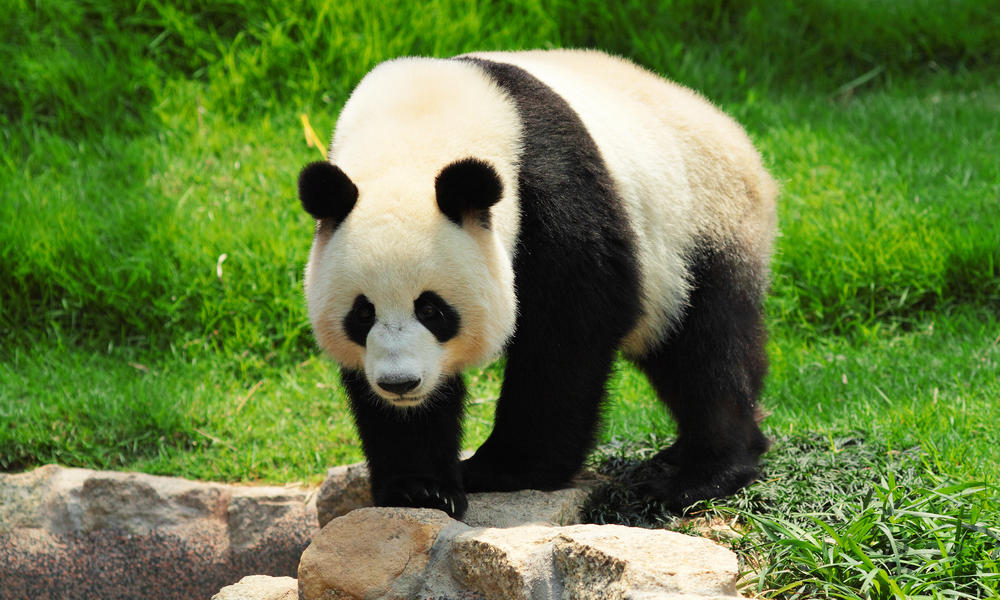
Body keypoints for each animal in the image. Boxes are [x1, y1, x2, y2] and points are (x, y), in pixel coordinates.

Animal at [298, 49, 780, 516]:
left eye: (432, 309)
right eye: (363, 313)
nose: (399, 384)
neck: (415, 128)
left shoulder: (552, 191)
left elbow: (568, 330)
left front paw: (505, 469)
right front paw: (420, 488)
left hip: (701, 225)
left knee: (706, 348)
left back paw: (698, 476)